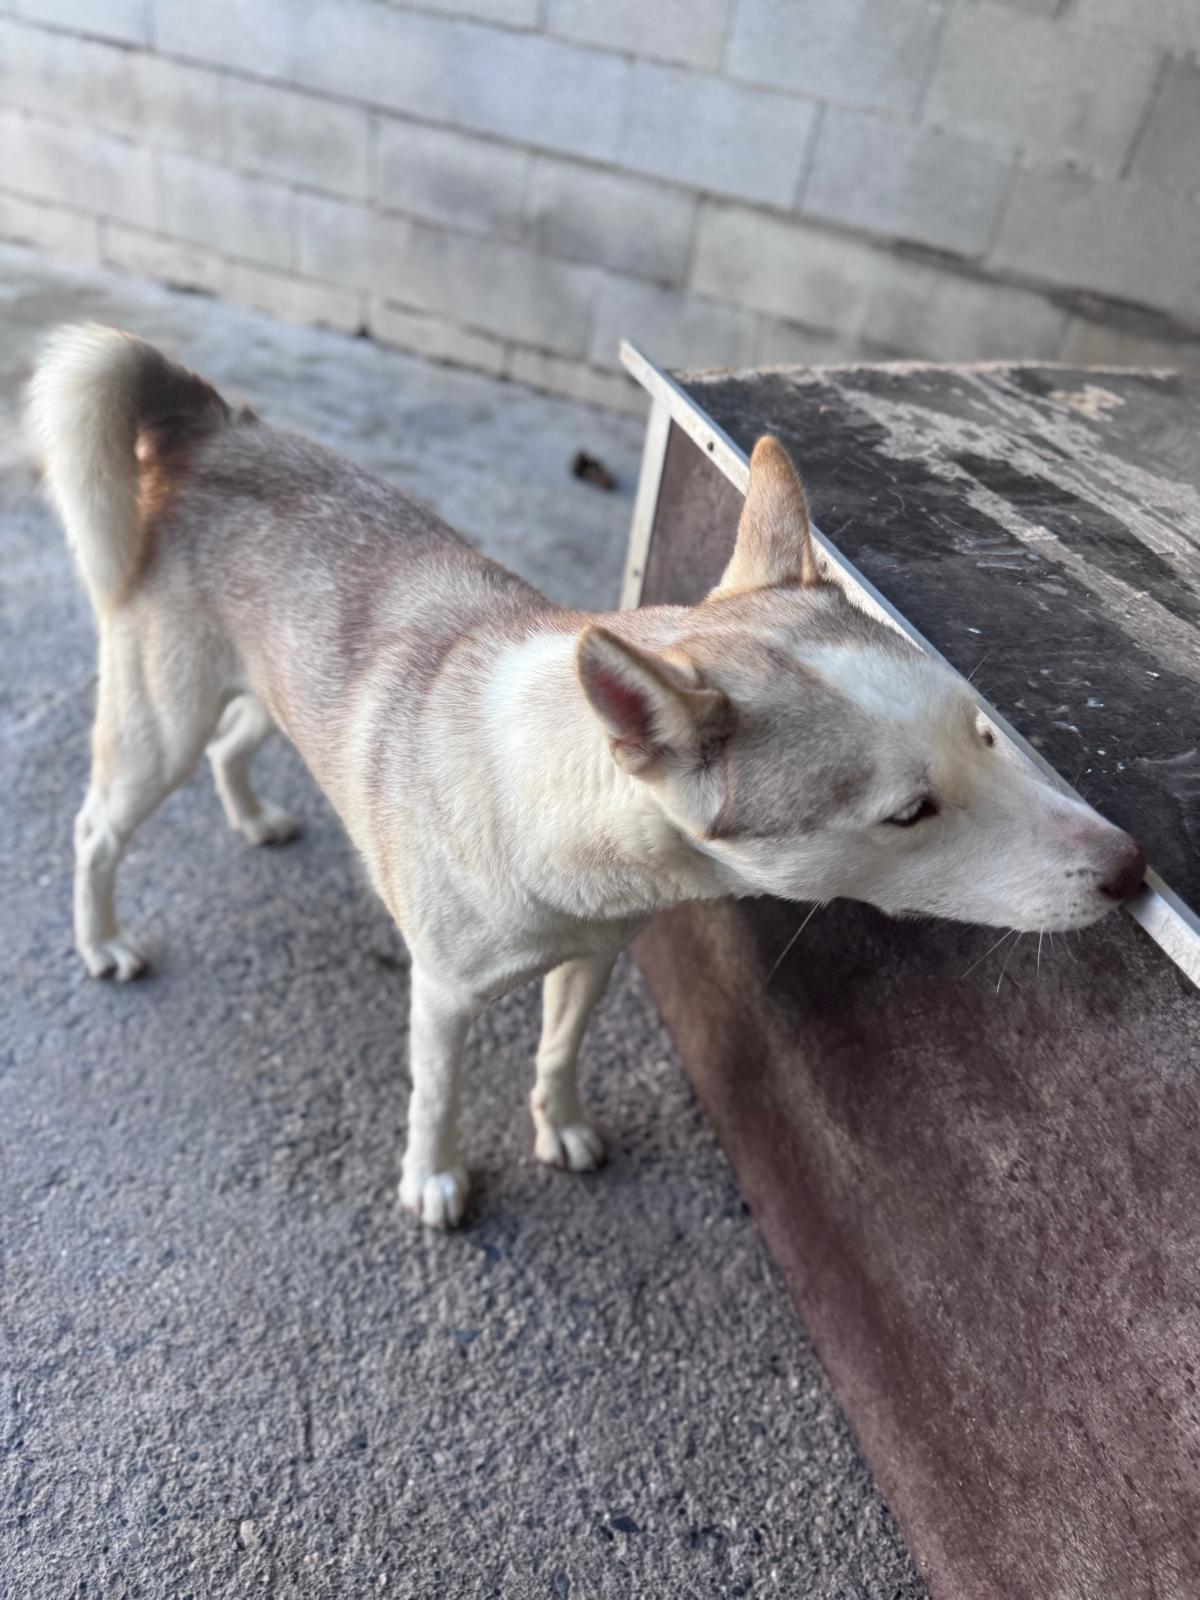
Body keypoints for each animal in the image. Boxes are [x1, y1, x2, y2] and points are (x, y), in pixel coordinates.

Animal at [29, 325, 1146, 1228]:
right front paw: (433, 1179)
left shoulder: (597, 956)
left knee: (235, 749)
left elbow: (559, 1050)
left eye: (985, 733)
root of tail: (215, 423)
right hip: (158, 726)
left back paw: (256, 817)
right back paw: (104, 942)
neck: (553, 796)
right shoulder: (443, 996)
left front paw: (559, 1126)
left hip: (269, 688)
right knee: (96, 828)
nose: (1132, 868)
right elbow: (436, 1092)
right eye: (910, 813)